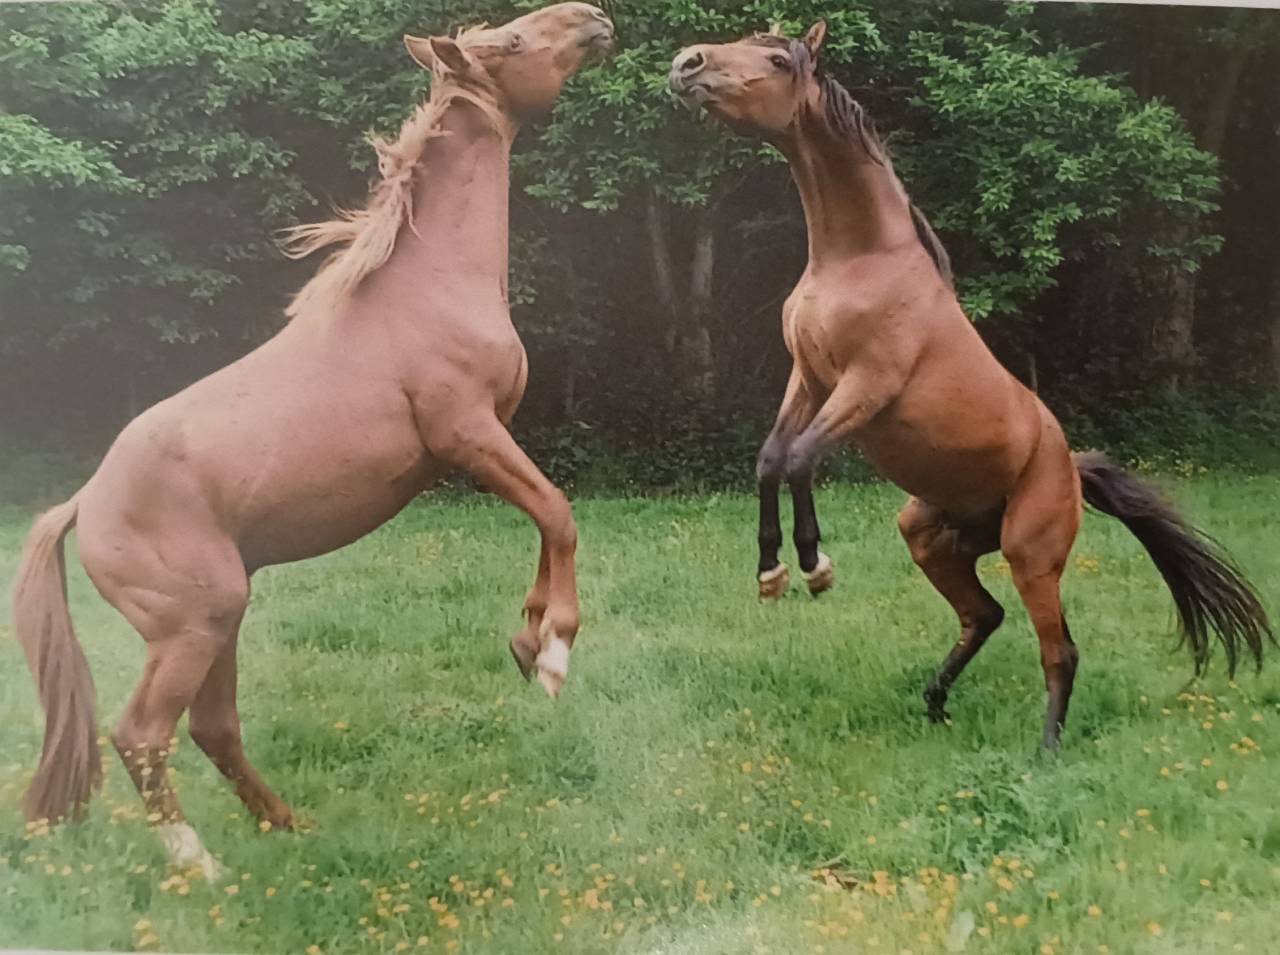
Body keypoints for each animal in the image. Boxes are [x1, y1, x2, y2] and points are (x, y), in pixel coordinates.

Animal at [10, 2, 615, 879]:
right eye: (507, 41)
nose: (594, 18)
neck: (427, 288)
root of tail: (84, 502)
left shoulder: (489, 438)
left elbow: (544, 522)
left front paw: (527, 638)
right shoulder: (466, 432)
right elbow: (560, 513)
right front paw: (555, 653)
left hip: (222, 619)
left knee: (213, 728)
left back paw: (288, 824)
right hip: (190, 626)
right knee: (141, 732)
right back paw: (200, 863)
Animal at [669, 22, 1272, 749]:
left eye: (780, 59)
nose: (687, 63)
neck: (859, 260)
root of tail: (1070, 466)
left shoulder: (866, 386)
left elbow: (800, 458)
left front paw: (814, 566)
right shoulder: (808, 378)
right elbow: (769, 459)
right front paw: (770, 572)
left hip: (1030, 552)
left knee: (1058, 649)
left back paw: (1045, 748)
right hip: (930, 535)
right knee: (983, 615)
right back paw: (934, 704)